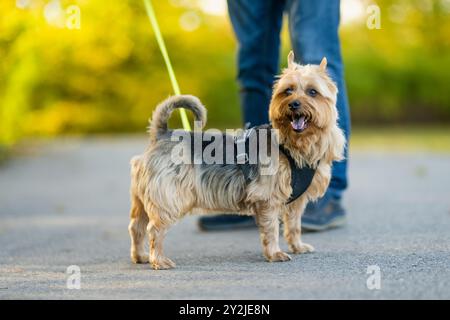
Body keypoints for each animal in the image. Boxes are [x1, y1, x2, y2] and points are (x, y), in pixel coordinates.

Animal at [128, 51, 346, 268]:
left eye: (312, 92)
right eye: (288, 91)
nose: (293, 104)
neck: (292, 145)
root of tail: (161, 134)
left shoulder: (295, 202)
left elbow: (294, 225)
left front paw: (298, 246)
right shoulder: (268, 198)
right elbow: (271, 229)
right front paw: (275, 253)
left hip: (143, 198)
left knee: (136, 226)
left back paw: (141, 256)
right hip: (169, 198)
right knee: (153, 229)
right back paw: (159, 260)